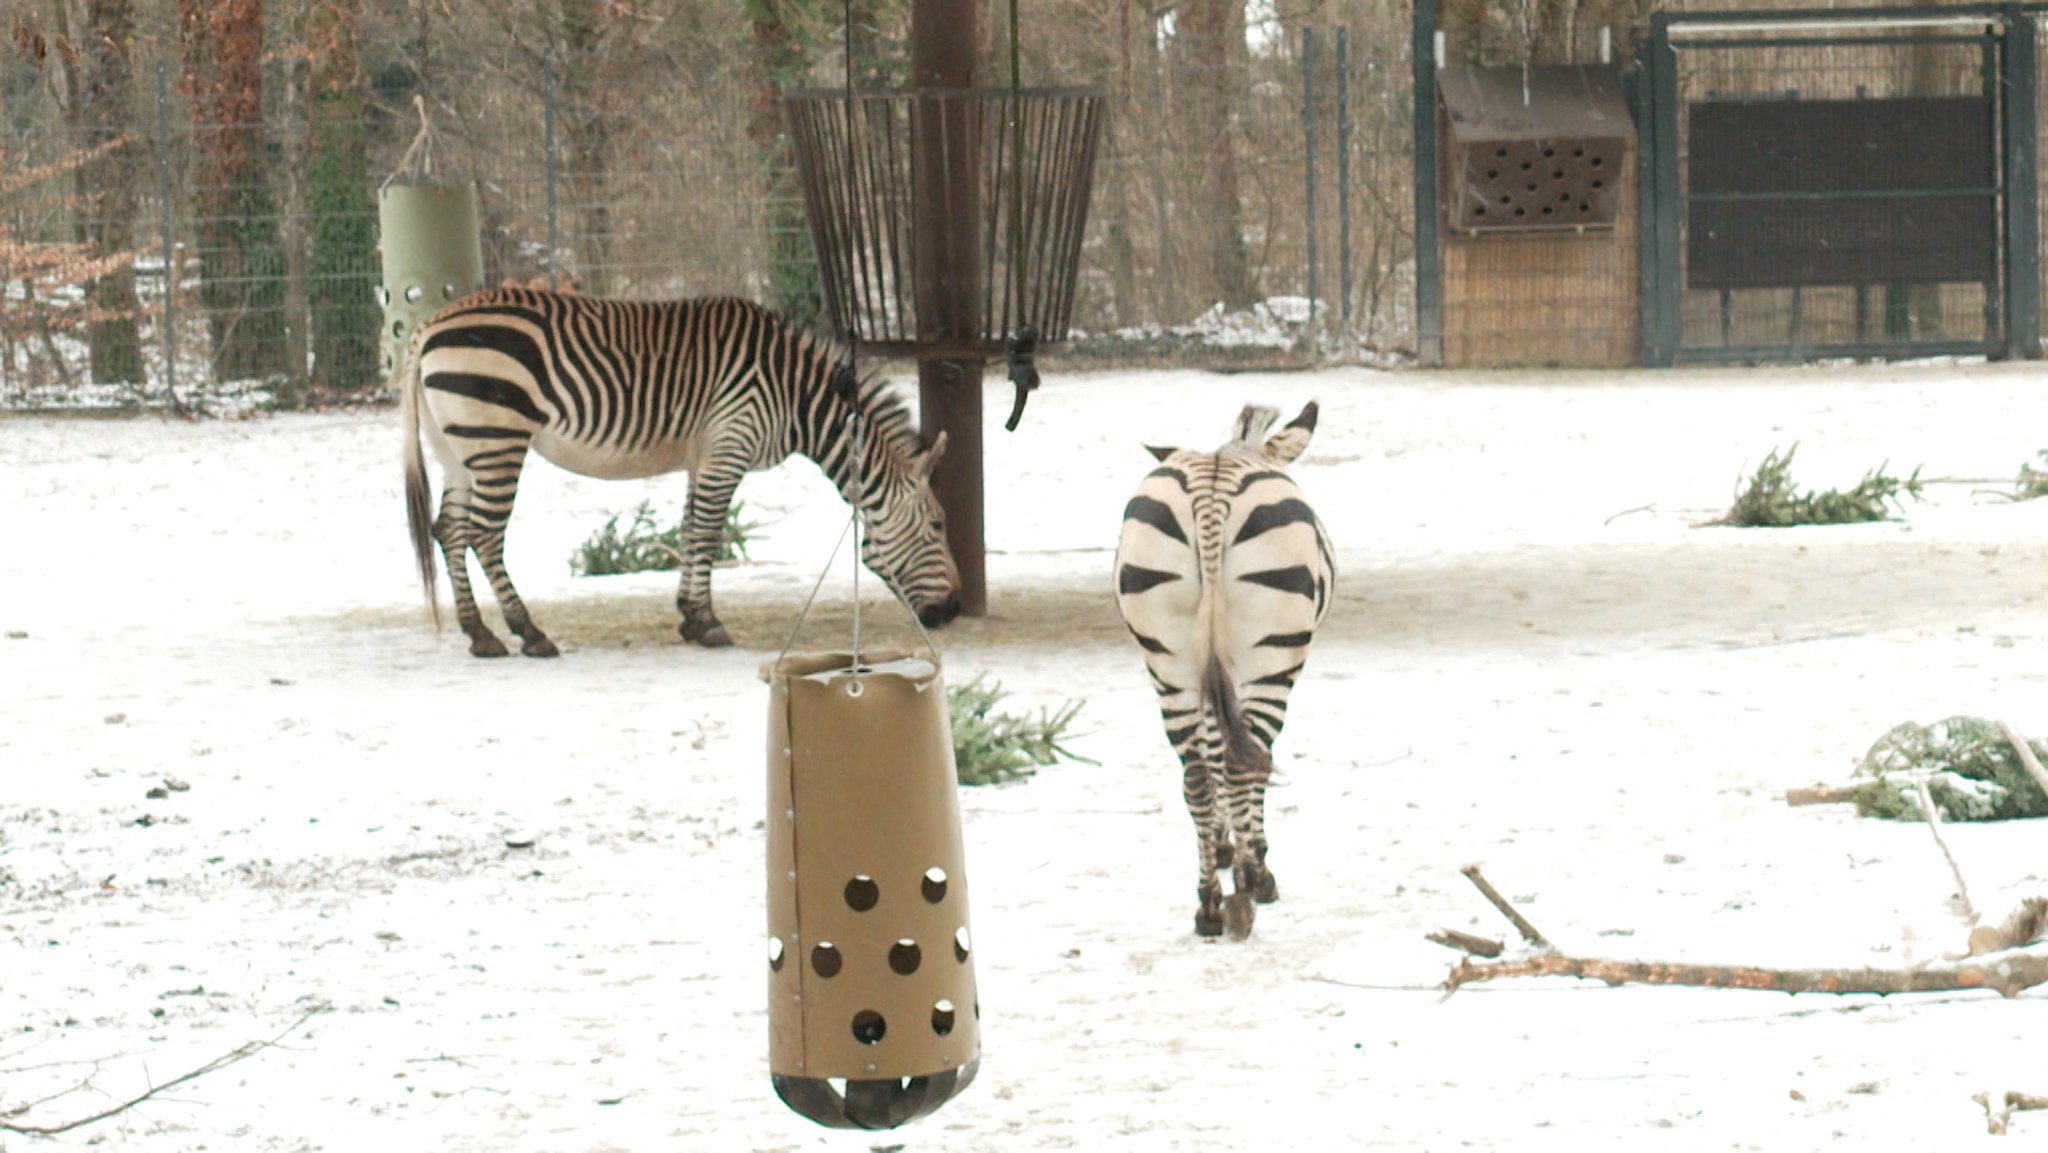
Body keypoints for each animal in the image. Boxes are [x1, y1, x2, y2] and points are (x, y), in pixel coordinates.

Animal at [399, 288, 962, 657]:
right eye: (937, 525)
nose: (954, 610)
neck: (797, 396)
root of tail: (429, 326)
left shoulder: (704, 456)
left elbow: (691, 529)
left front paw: (689, 617)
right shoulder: (729, 445)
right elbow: (709, 533)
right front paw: (708, 622)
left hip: (457, 448)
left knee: (449, 529)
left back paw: (480, 634)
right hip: (497, 438)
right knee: (484, 534)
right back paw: (528, 632)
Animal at [1113, 401, 1334, 939]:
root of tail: (1211, 497)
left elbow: (1212, 749)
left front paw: (1221, 844)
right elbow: (1246, 759)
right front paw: (1249, 853)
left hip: (1167, 658)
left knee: (1195, 774)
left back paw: (1210, 904)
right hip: (1270, 654)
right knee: (1244, 761)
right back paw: (1252, 886)